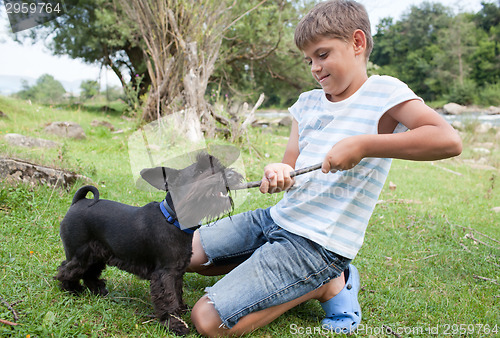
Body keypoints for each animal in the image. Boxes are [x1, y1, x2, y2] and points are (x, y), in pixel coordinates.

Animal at [55, 152, 243, 336]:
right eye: (200, 172)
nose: (230, 175)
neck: (173, 219)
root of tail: (78, 201)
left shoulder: (177, 271)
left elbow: (177, 292)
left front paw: (181, 310)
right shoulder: (164, 274)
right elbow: (168, 298)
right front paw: (174, 324)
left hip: (96, 254)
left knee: (89, 272)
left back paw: (97, 290)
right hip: (80, 253)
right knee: (67, 269)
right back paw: (72, 289)